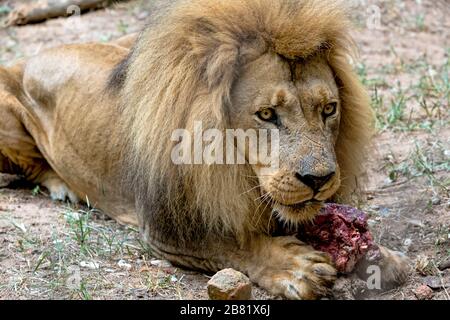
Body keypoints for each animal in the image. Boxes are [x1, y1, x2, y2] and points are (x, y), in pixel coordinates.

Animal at [0, 0, 410, 300]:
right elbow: (233, 245)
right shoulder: (166, 229)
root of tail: (32, 56)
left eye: (329, 109)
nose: (319, 179)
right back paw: (62, 187)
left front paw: (380, 256)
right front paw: (294, 266)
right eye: (266, 114)